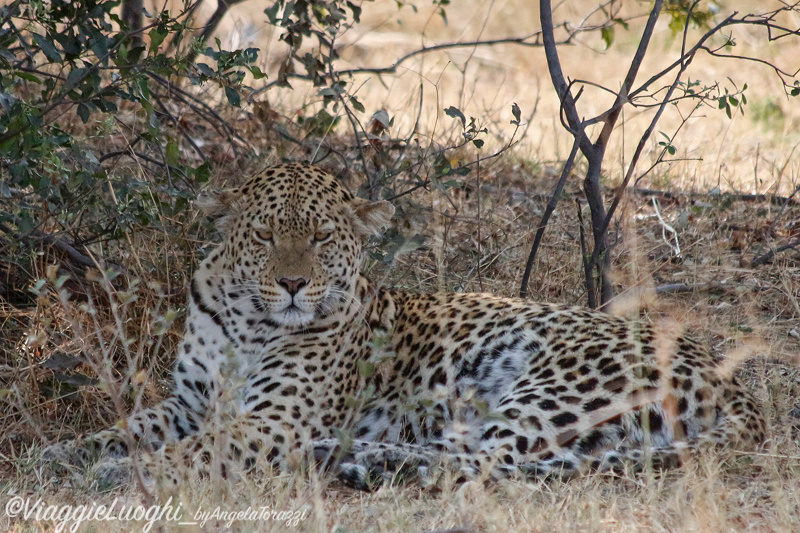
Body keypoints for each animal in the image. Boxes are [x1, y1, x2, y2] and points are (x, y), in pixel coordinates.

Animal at [42, 162, 764, 490]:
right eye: (267, 235)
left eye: (322, 236)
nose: (293, 284)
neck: (248, 321)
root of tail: (743, 393)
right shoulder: (189, 403)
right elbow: (130, 427)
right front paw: (64, 453)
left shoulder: (272, 422)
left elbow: (189, 454)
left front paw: (118, 475)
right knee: (489, 457)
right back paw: (360, 459)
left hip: (553, 384)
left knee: (481, 462)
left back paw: (362, 460)